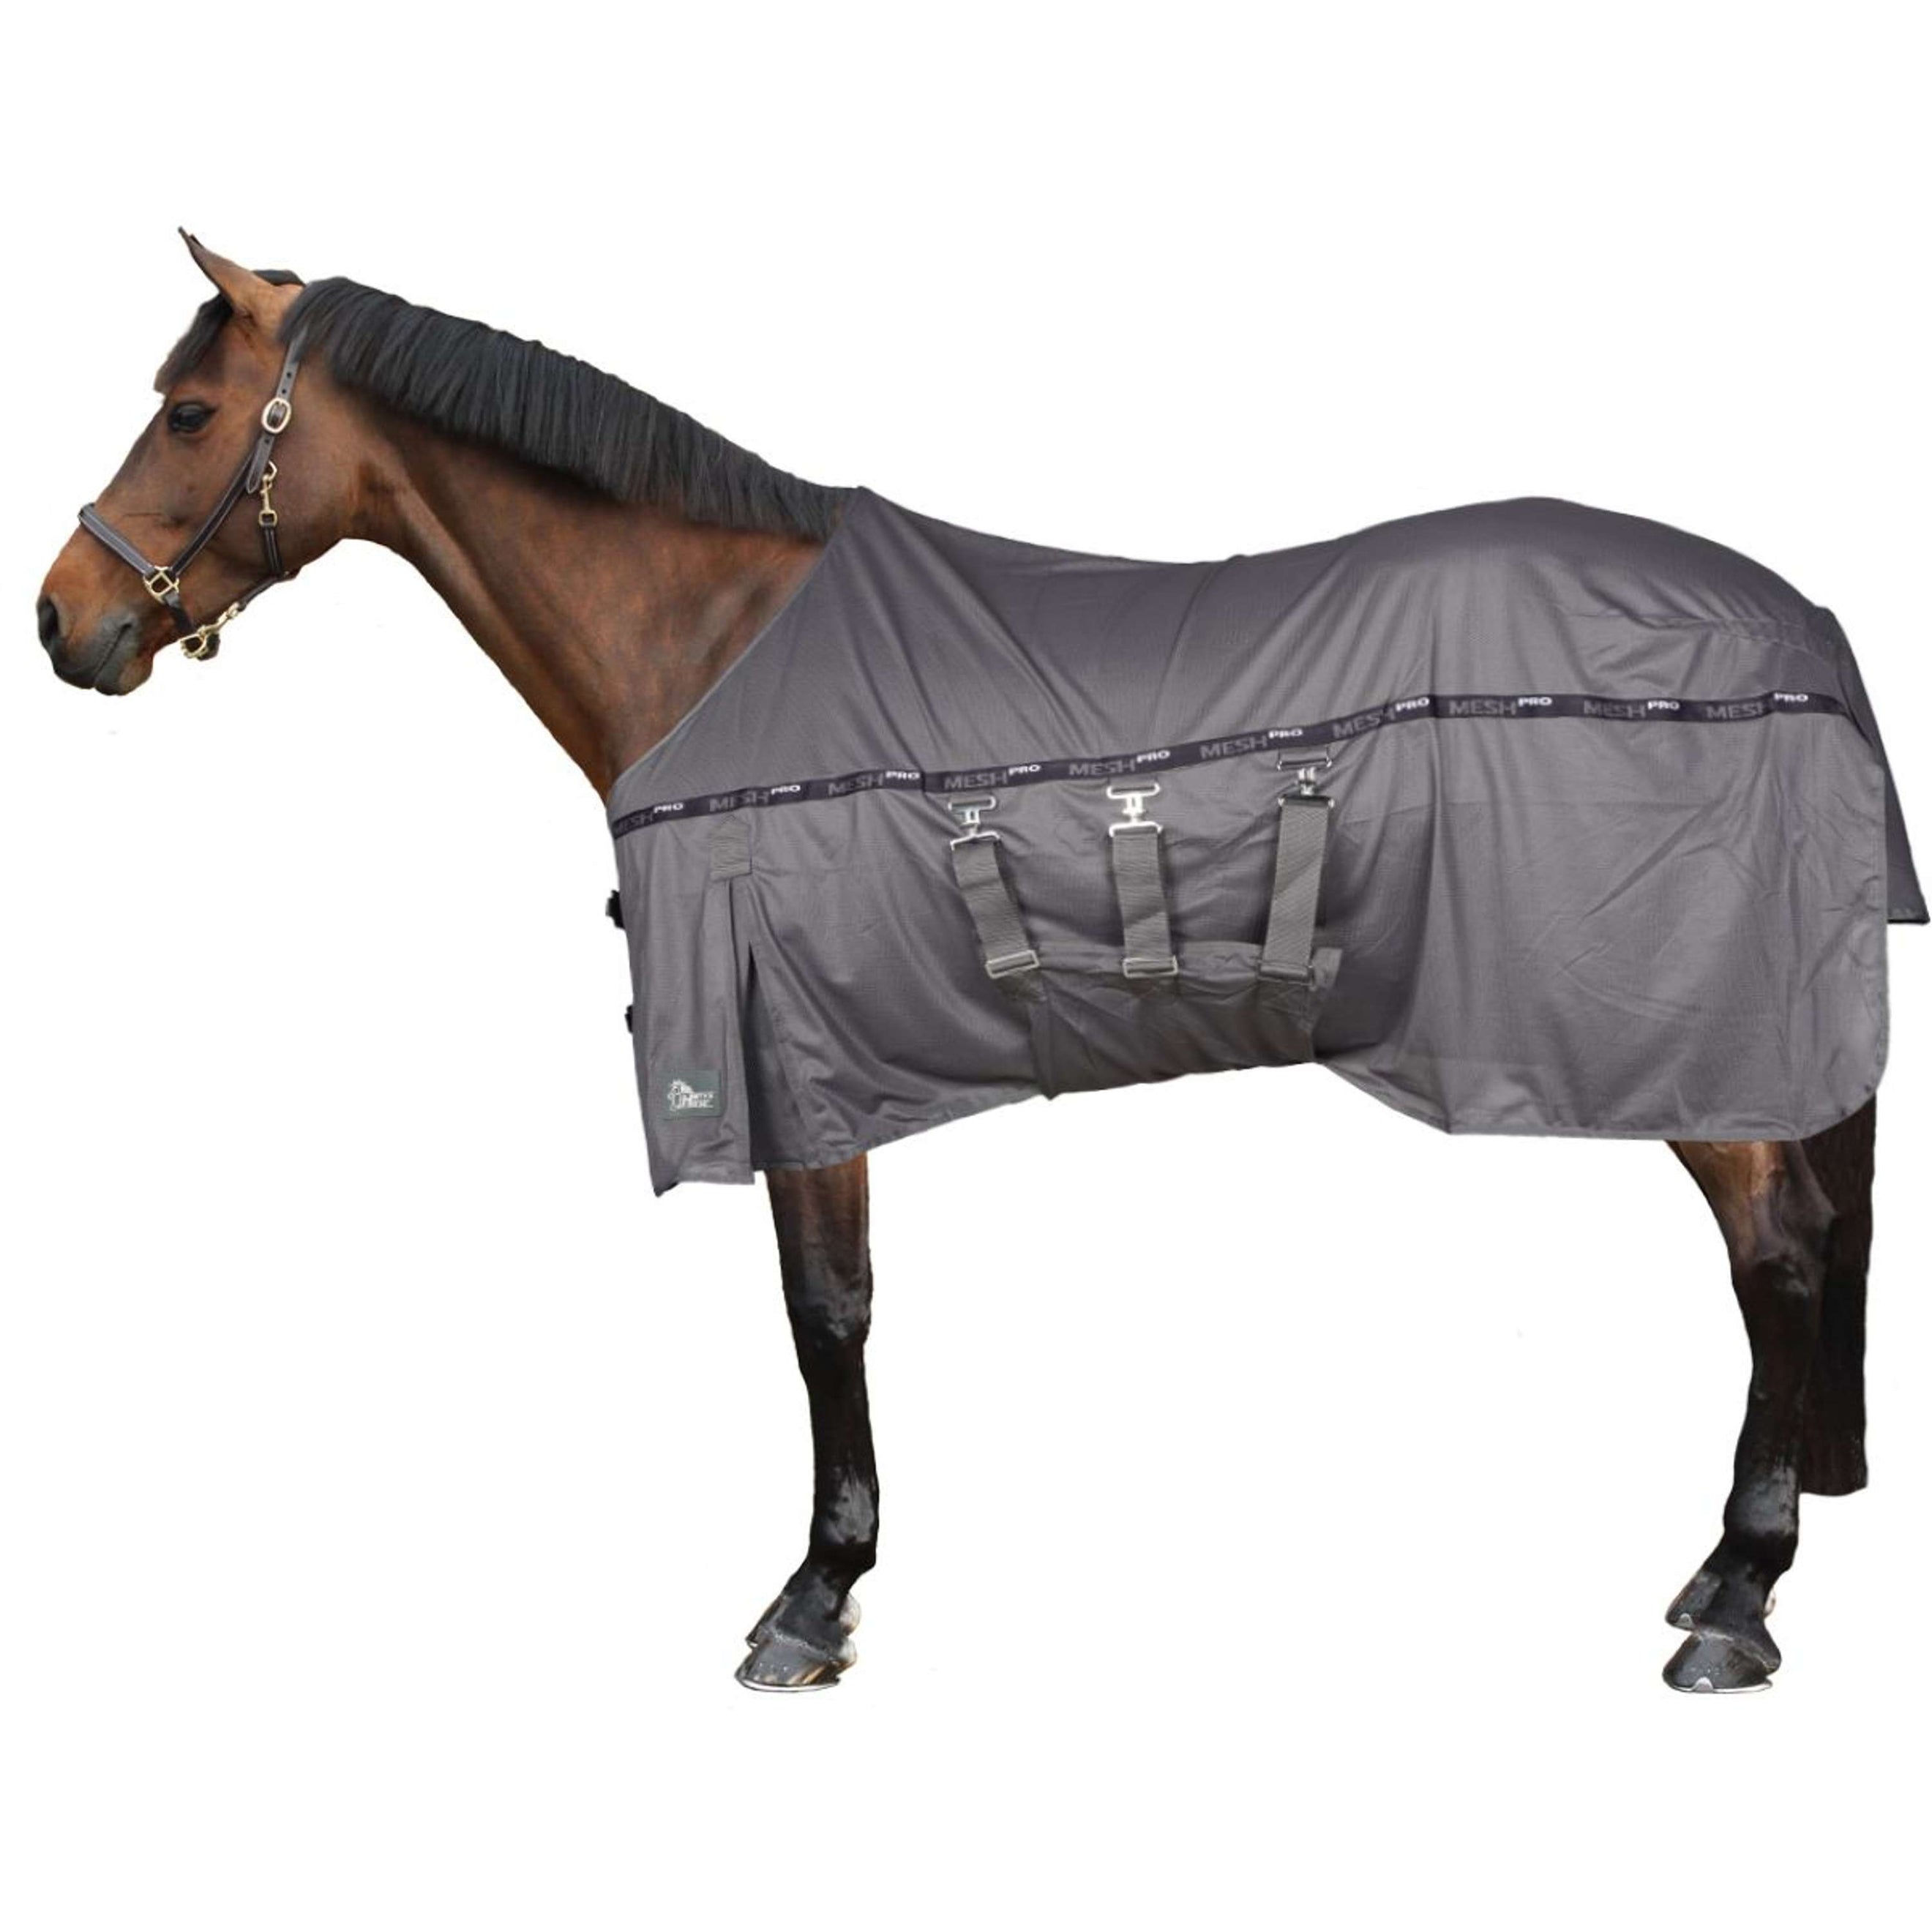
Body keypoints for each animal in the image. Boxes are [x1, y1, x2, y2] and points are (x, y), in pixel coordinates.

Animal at [36, 234, 1916, 1694]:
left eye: (190, 412)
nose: (65, 621)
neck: (715, 643)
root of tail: (1794, 627)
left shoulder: (795, 1059)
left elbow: (824, 1312)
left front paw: (812, 1598)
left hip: (1679, 1035)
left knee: (1780, 1258)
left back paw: (1736, 1599)